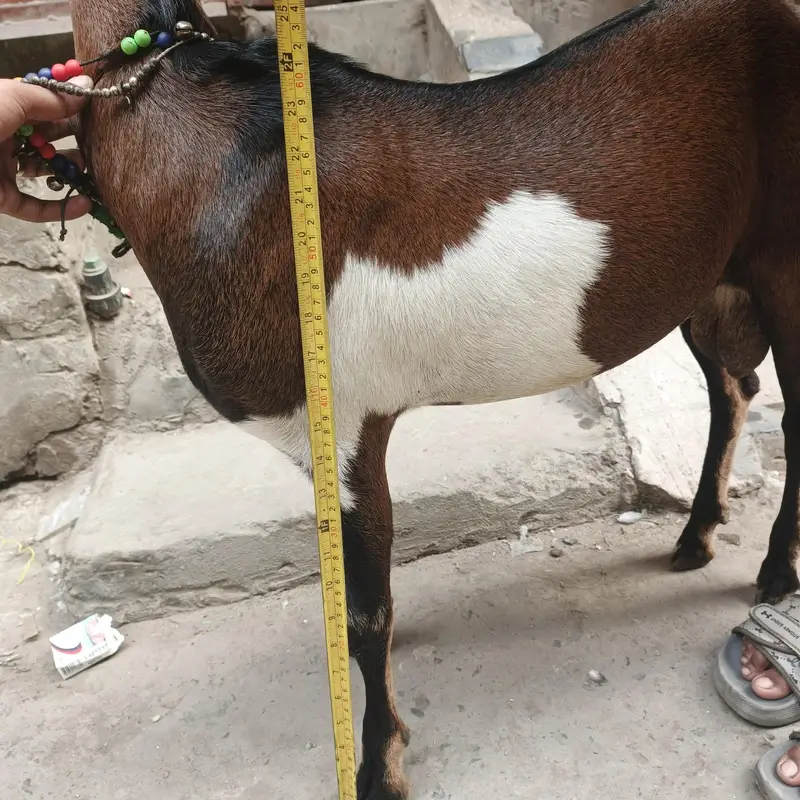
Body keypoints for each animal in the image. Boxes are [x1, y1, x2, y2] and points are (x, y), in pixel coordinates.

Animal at [67, 0, 800, 796]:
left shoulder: (345, 422)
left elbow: (365, 613)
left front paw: (379, 762)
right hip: (710, 279)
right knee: (734, 389)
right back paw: (697, 536)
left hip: (787, 271)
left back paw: (774, 575)